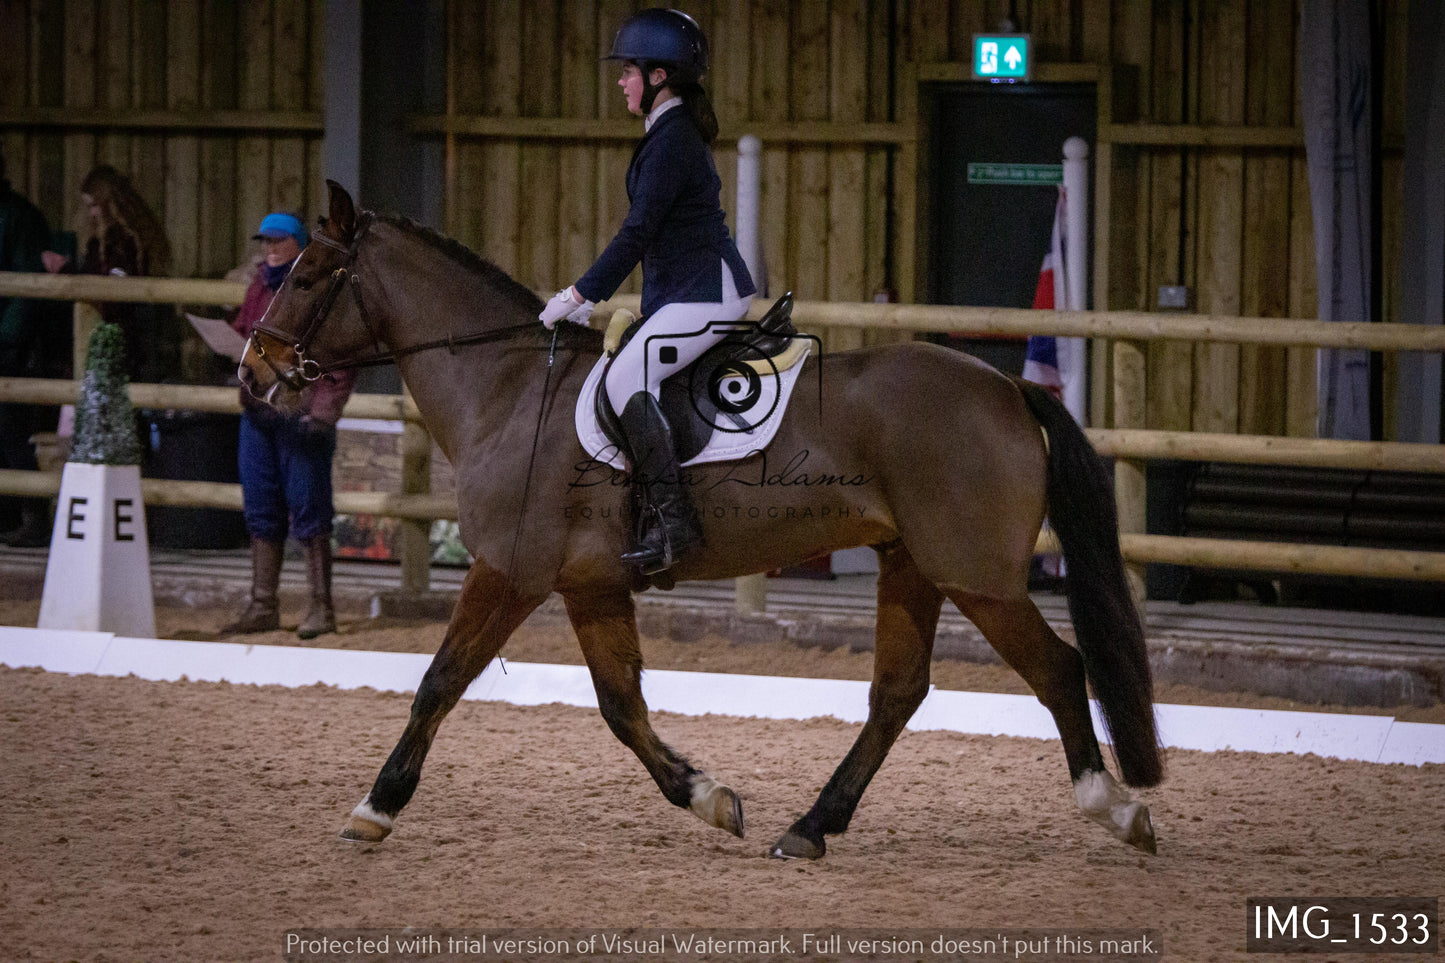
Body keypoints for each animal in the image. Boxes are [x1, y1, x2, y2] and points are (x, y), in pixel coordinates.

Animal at [236, 183, 1161, 856]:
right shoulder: (590, 586)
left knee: (1058, 669)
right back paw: (810, 828)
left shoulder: (508, 570)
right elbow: (620, 705)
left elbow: (439, 681)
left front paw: (374, 806)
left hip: (975, 574)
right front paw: (710, 797)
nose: (253, 373)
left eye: (307, 278)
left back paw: (1113, 809)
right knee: (897, 692)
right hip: (911, 564)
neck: (508, 389)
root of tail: (1004, 385)